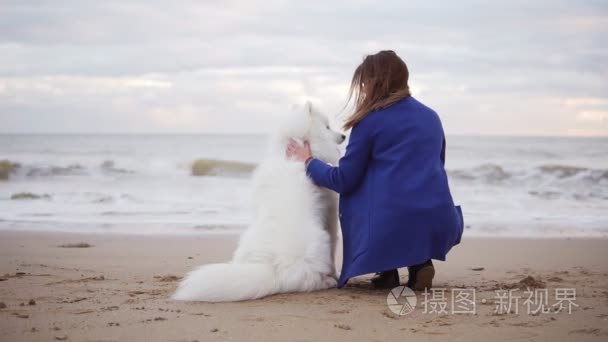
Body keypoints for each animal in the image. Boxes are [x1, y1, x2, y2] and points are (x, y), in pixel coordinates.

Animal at [173, 102, 344, 302]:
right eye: (327, 127)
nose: (344, 135)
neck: (290, 154)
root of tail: (275, 272)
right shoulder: (330, 215)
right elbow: (334, 247)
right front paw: (335, 274)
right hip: (319, 241)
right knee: (313, 280)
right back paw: (327, 281)